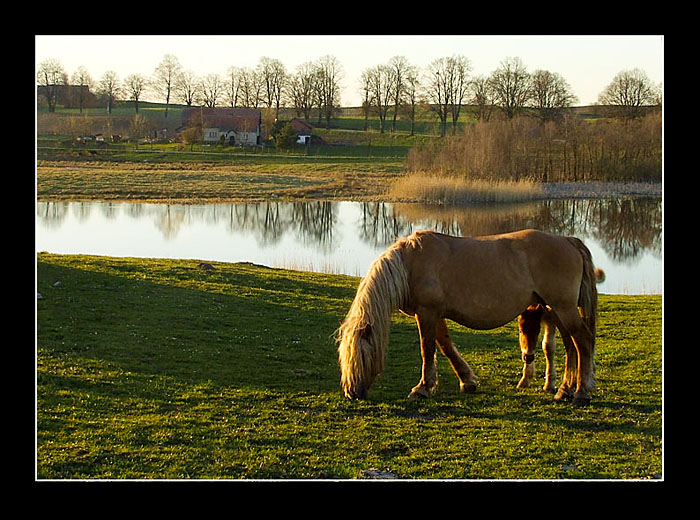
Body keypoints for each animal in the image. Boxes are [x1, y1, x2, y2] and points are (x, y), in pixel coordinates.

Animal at [336, 231, 604, 406]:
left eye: (358, 355)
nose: (352, 393)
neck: (410, 264)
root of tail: (568, 240)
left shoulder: (427, 313)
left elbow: (427, 349)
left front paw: (422, 388)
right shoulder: (435, 315)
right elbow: (445, 347)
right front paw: (467, 381)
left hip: (563, 307)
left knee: (583, 342)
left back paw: (581, 392)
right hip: (557, 309)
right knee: (571, 346)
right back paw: (565, 390)